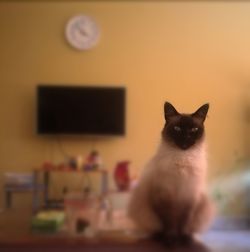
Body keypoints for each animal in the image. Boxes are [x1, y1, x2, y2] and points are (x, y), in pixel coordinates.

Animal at [128, 102, 214, 244]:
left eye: (194, 130)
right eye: (177, 129)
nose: (185, 138)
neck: (182, 159)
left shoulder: (188, 197)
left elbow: (184, 222)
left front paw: (184, 239)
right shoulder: (164, 196)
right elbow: (168, 222)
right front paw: (171, 239)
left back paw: (191, 238)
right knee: (154, 229)